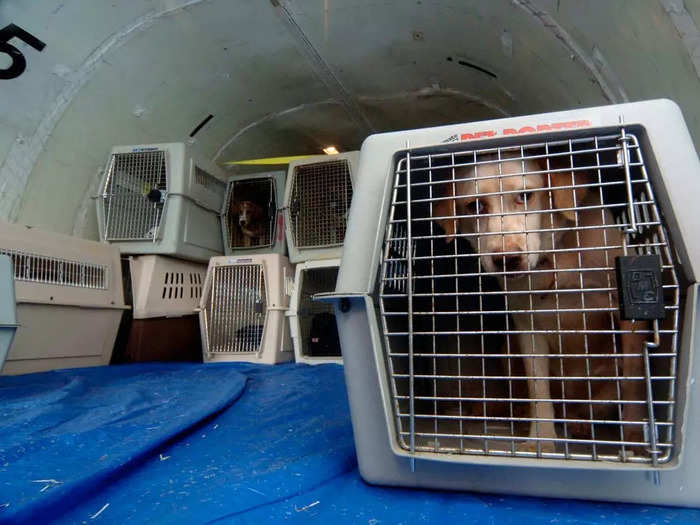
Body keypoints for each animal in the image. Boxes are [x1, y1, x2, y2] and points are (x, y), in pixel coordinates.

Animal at [432, 148, 652, 454]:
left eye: (526, 196)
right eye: (475, 206)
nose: (507, 260)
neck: (553, 258)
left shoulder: (626, 317)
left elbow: (633, 379)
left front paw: (634, 437)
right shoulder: (528, 327)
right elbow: (539, 391)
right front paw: (541, 439)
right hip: (508, 348)